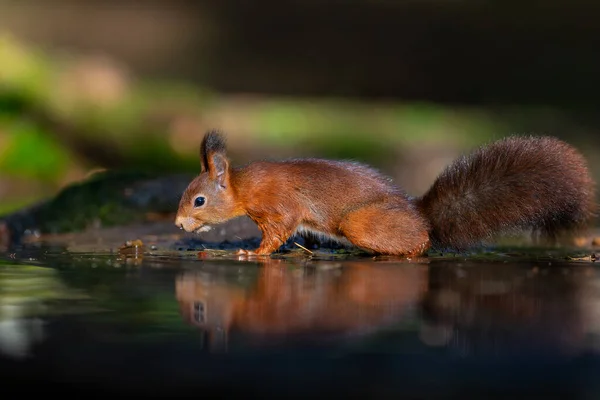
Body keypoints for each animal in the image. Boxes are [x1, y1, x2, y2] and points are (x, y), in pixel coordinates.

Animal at [173, 131, 596, 256]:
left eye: (199, 200)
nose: (177, 224)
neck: (244, 187)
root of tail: (421, 216)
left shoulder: (279, 204)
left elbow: (279, 231)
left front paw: (253, 253)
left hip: (360, 223)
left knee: (418, 244)